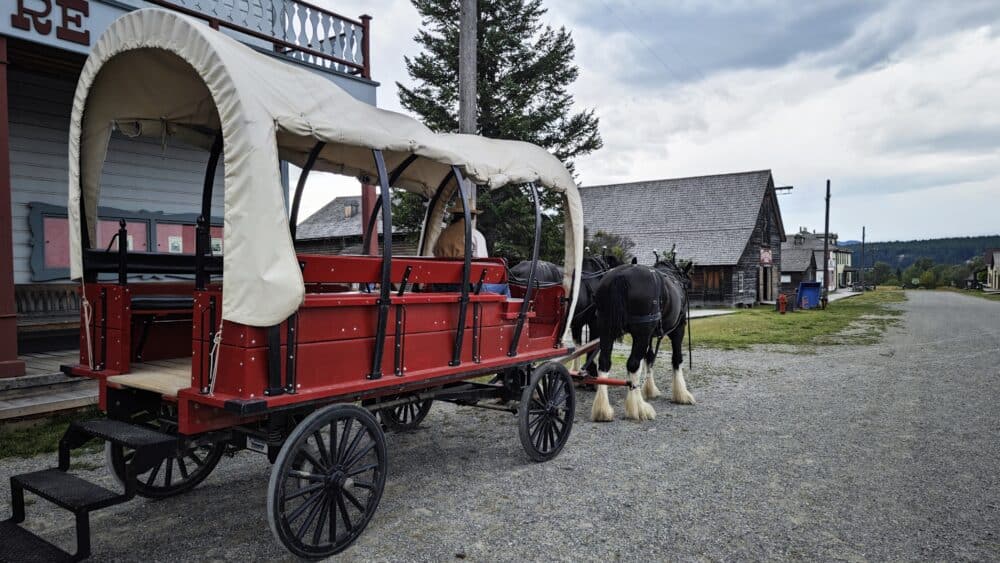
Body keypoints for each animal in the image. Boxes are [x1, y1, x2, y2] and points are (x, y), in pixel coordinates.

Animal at [588, 256, 692, 424]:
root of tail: (620, 276)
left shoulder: (649, 335)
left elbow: (649, 357)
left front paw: (650, 389)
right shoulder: (678, 329)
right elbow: (676, 359)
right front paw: (681, 394)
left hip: (605, 329)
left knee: (604, 363)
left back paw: (602, 409)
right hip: (641, 332)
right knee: (633, 364)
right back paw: (638, 407)